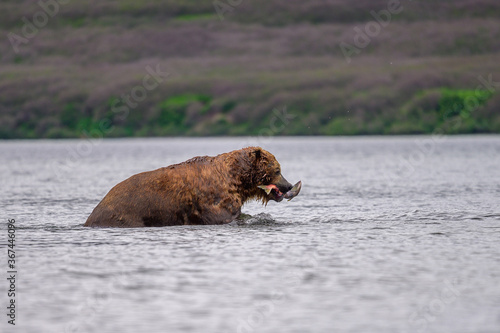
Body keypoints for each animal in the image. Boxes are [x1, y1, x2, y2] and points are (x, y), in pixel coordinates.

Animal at [84, 147, 300, 227]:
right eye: (278, 169)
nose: (289, 185)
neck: (237, 179)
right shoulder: (214, 199)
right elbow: (223, 215)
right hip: (127, 212)